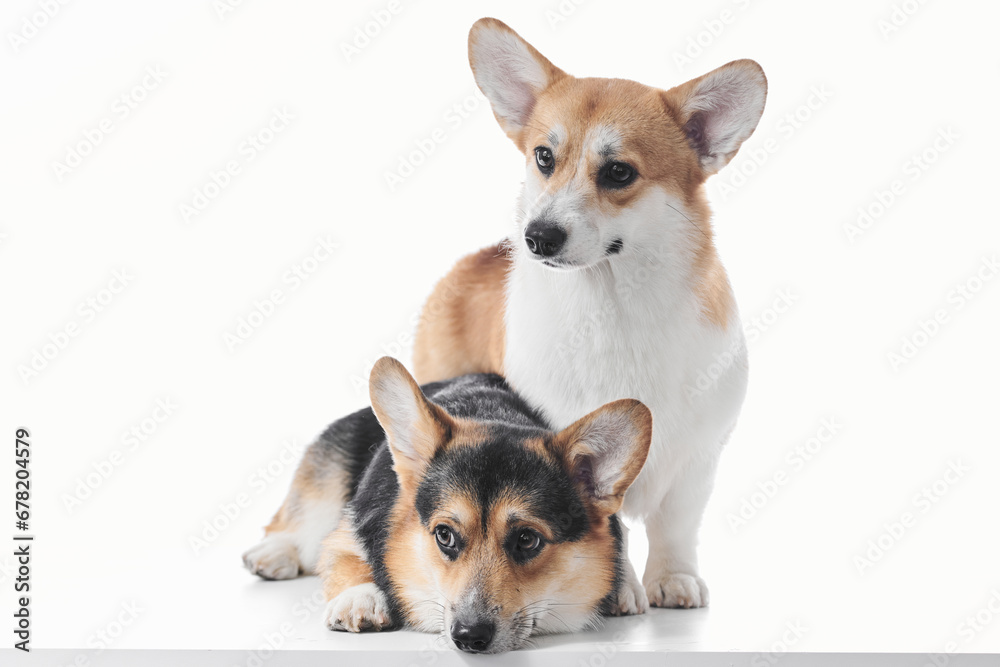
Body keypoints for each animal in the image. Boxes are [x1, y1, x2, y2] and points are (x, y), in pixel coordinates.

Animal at [241, 358, 648, 656]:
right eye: (444, 535)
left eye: (527, 540)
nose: (468, 636)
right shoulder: (348, 527)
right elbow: (348, 557)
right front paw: (361, 598)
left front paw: (623, 582)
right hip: (325, 490)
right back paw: (272, 553)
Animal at [412, 18, 764, 612]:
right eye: (543, 157)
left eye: (618, 172)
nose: (537, 236)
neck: (614, 303)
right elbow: (609, 524)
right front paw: (618, 591)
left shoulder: (697, 457)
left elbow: (677, 525)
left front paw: (673, 578)